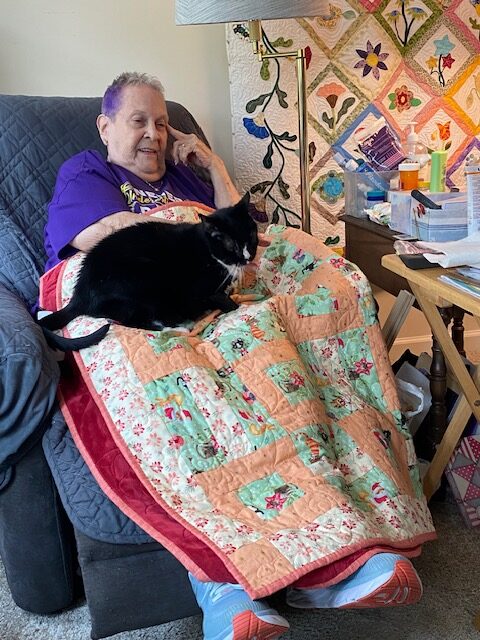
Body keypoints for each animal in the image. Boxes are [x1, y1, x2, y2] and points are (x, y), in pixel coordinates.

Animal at [40, 192, 258, 350]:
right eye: (232, 246)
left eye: (252, 236)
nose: (249, 256)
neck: (209, 249)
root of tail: (79, 294)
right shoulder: (204, 289)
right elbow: (225, 301)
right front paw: (236, 305)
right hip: (141, 280)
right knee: (133, 321)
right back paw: (177, 328)